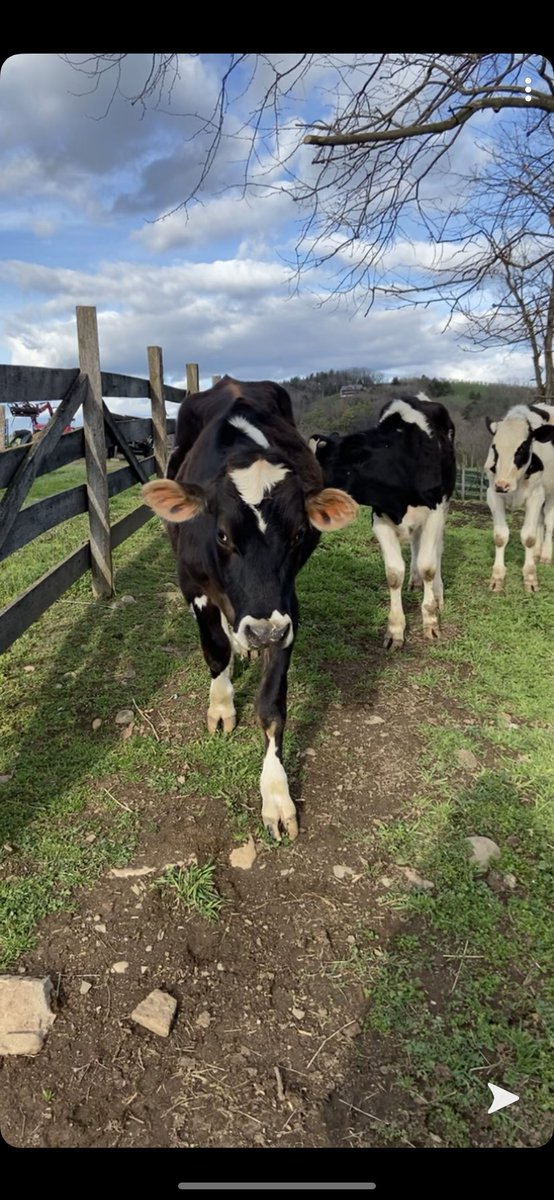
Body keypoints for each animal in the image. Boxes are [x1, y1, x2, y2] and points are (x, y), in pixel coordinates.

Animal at [142, 375, 358, 841]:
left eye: (298, 533)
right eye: (222, 534)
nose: (262, 634)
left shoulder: (285, 611)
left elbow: (272, 706)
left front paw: (276, 794)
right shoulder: (193, 587)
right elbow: (215, 650)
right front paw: (221, 705)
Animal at [309, 392, 456, 649]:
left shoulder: (435, 512)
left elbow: (428, 566)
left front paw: (430, 620)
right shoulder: (380, 517)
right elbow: (394, 574)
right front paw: (395, 630)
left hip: (445, 507)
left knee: (436, 551)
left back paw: (437, 595)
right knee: (416, 546)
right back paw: (414, 582)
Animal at [484, 402, 554, 593]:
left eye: (522, 448)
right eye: (495, 448)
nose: (503, 485)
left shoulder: (536, 495)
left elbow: (529, 537)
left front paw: (530, 577)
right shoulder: (493, 494)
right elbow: (500, 536)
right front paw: (497, 577)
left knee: (549, 523)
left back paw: (545, 555)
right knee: (540, 521)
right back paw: (537, 553)